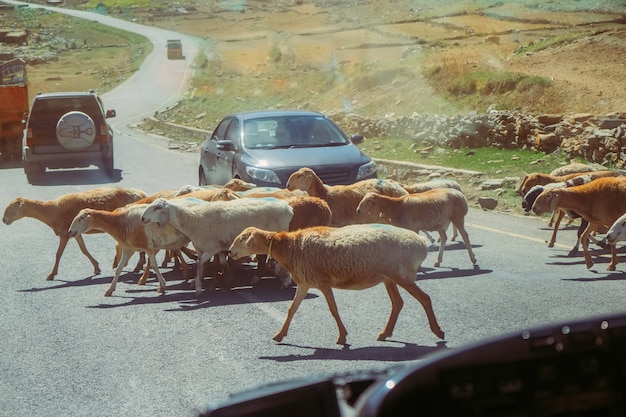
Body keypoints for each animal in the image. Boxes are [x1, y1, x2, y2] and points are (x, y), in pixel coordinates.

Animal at [3, 188, 146, 282]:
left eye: (14, 207)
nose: (4, 220)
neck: (51, 211)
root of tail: (141, 193)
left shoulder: (64, 234)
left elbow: (58, 254)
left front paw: (51, 274)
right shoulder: (74, 232)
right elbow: (84, 250)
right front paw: (96, 268)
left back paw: (138, 266)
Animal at [139, 196, 292, 296]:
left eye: (158, 208)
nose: (142, 218)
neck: (192, 220)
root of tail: (288, 208)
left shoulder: (210, 248)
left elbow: (198, 265)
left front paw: (199, 288)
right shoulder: (210, 248)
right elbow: (218, 265)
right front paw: (226, 283)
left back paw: (285, 281)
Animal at [225, 224, 444, 344]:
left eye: (243, 238)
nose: (229, 252)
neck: (289, 247)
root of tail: (421, 243)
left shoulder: (322, 282)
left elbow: (333, 309)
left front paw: (342, 337)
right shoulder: (305, 283)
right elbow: (291, 309)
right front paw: (279, 335)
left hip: (401, 274)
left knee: (425, 298)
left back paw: (438, 331)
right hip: (389, 278)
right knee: (398, 303)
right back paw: (385, 333)